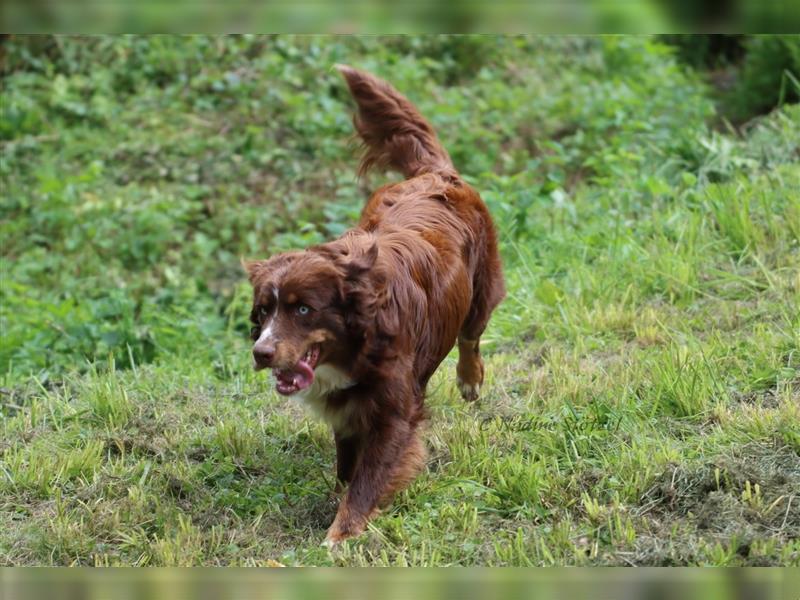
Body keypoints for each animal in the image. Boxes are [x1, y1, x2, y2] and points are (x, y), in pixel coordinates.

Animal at [247, 64, 504, 544]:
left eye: (303, 309)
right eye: (264, 311)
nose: (261, 352)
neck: (358, 341)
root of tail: (435, 174)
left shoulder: (394, 411)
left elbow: (367, 479)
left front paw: (338, 537)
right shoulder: (347, 410)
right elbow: (348, 465)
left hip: (483, 288)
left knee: (471, 335)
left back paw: (469, 380)